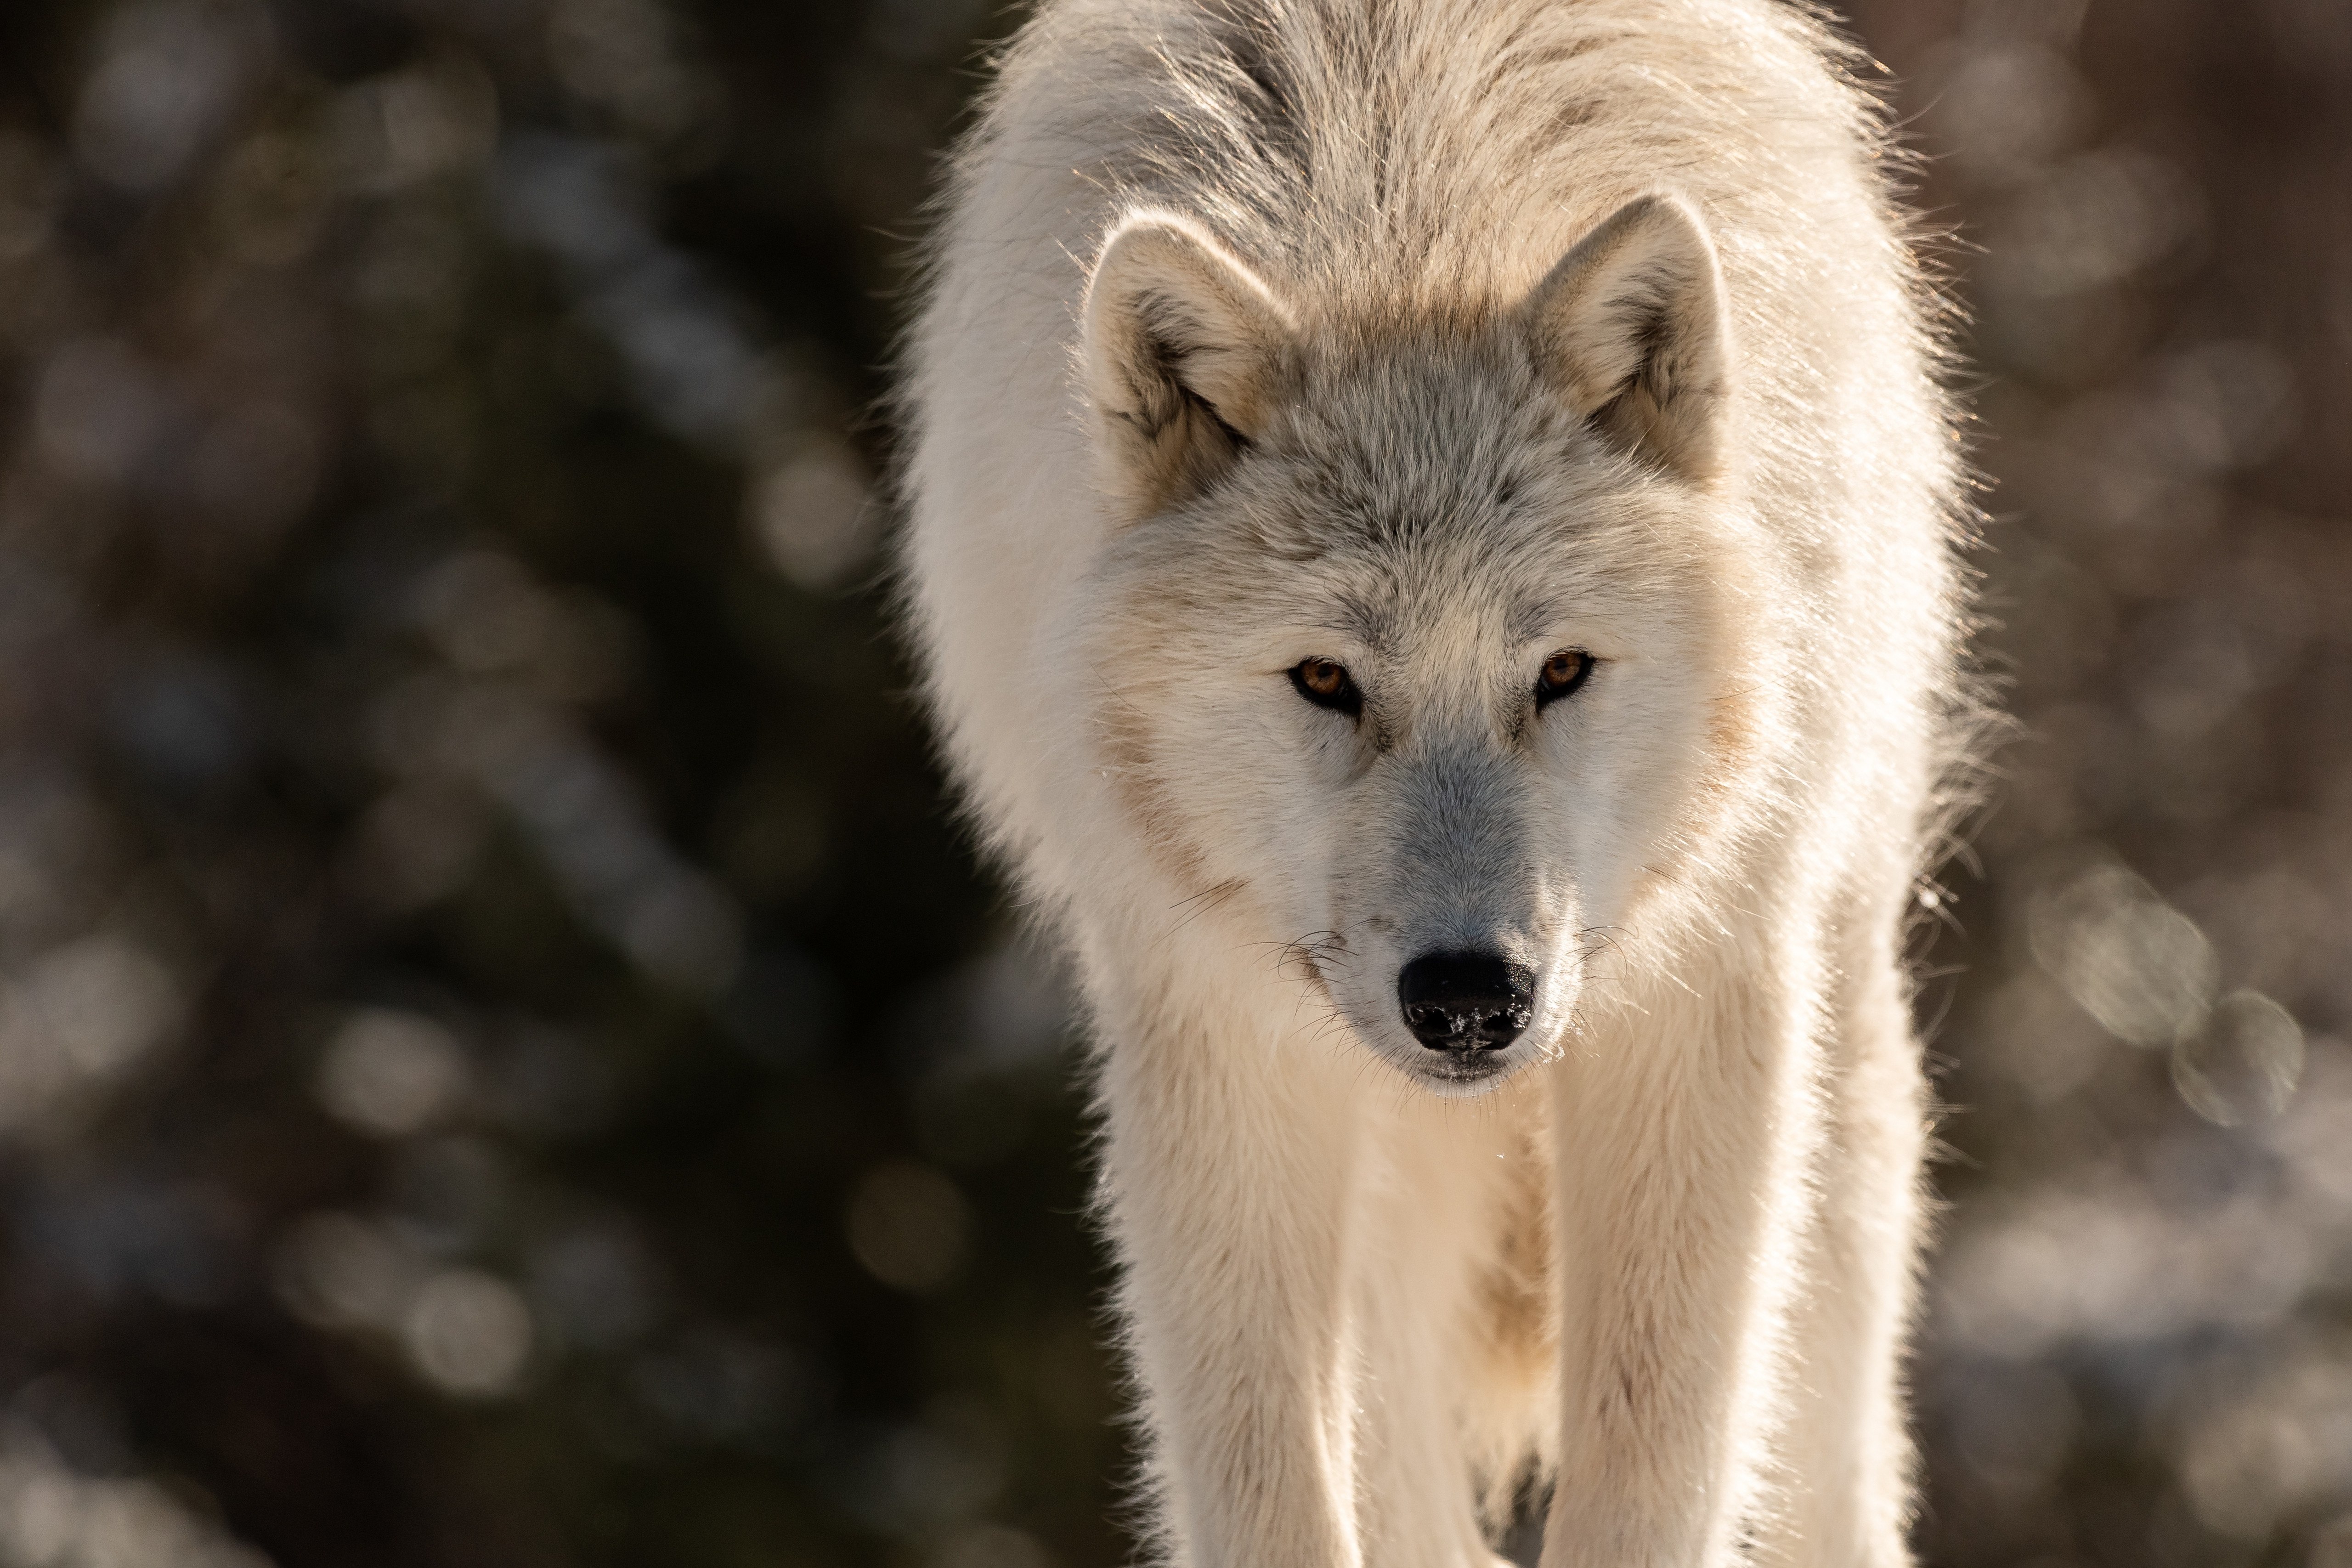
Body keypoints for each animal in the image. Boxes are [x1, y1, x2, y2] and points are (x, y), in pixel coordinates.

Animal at [893, 3, 1966, 1568]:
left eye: (1560, 672)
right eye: (1325, 681)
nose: (1469, 998)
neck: (1404, 218)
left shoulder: (1703, 1001)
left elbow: (1656, 1460)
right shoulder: (1211, 1025)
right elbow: (1265, 1480)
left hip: (1833, 1075)